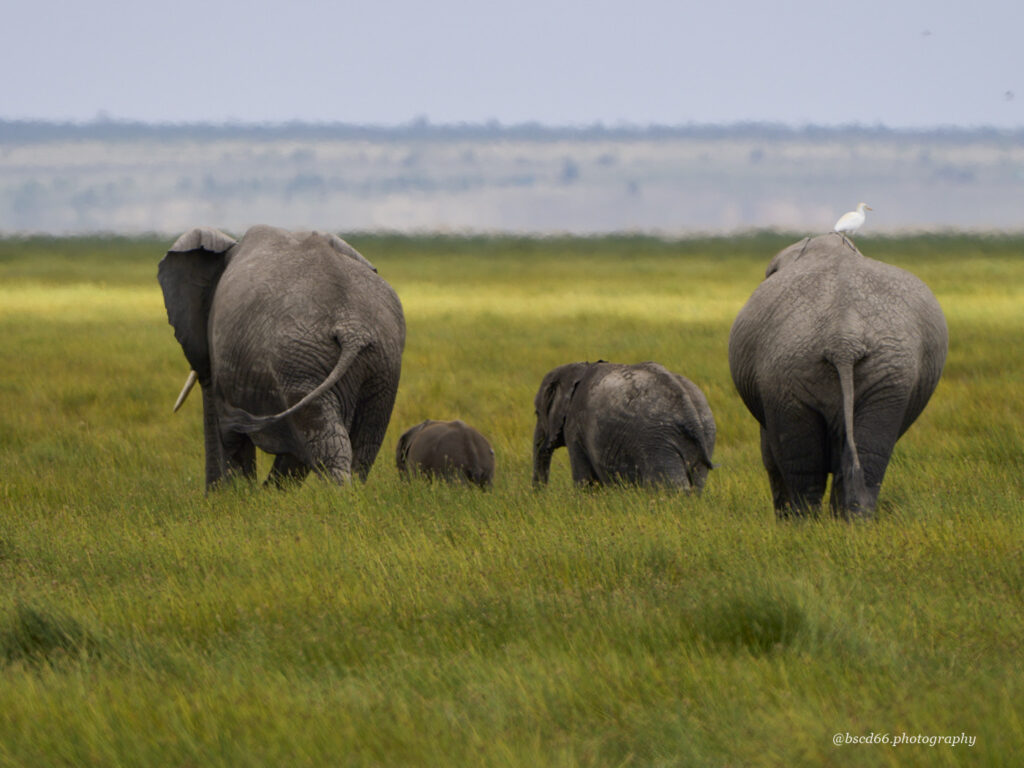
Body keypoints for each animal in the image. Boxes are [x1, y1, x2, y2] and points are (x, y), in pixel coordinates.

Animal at [158, 225, 405, 490]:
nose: (210, 496)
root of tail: (353, 328)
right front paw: (266, 495)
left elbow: (231, 436)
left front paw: (241, 494)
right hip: (381, 362)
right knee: (364, 441)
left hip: (301, 362)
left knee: (324, 439)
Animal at [532, 361, 716, 491]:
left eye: (537, 413)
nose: (540, 497)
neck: (579, 367)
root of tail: (690, 411)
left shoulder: (574, 427)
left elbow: (586, 482)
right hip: (706, 432)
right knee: (697, 484)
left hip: (657, 441)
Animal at [728, 233, 948, 519]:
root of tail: (843, 338)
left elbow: (770, 454)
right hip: (882, 375)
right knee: (864, 456)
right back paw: (850, 522)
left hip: (790, 372)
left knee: (804, 467)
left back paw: (804, 524)